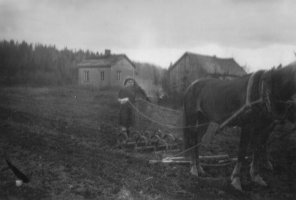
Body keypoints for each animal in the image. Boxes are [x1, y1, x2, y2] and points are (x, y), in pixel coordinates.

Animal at [184, 61, 294, 191]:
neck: (262, 89)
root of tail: (191, 85)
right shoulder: (248, 126)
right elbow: (242, 152)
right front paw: (236, 180)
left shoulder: (261, 128)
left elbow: (257, 150)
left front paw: (256, 177)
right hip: (192, 118)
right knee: (192, 140)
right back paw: (194, 169)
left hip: (204, 120)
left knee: (197, 141)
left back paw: (200, 168)